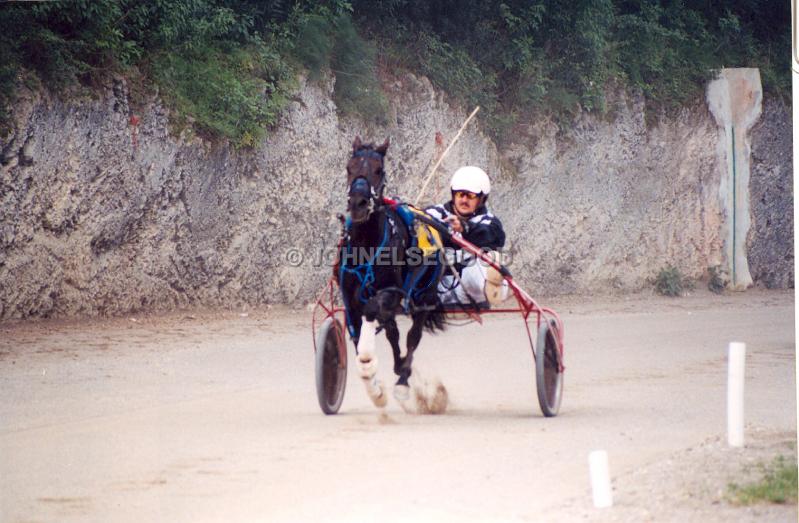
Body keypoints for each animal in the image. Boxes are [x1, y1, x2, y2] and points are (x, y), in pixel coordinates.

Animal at [340, 137, 446, 408]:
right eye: (349, 167)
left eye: (378, 170)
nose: (358, 203)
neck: (366, 246)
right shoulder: (350, 301)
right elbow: (359, 337)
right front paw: (373, 383)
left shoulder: (391, 293)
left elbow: (372, 313)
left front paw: (374, 367)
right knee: (393, 333)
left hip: (425, 298)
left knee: (412, 337)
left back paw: (403, 377)